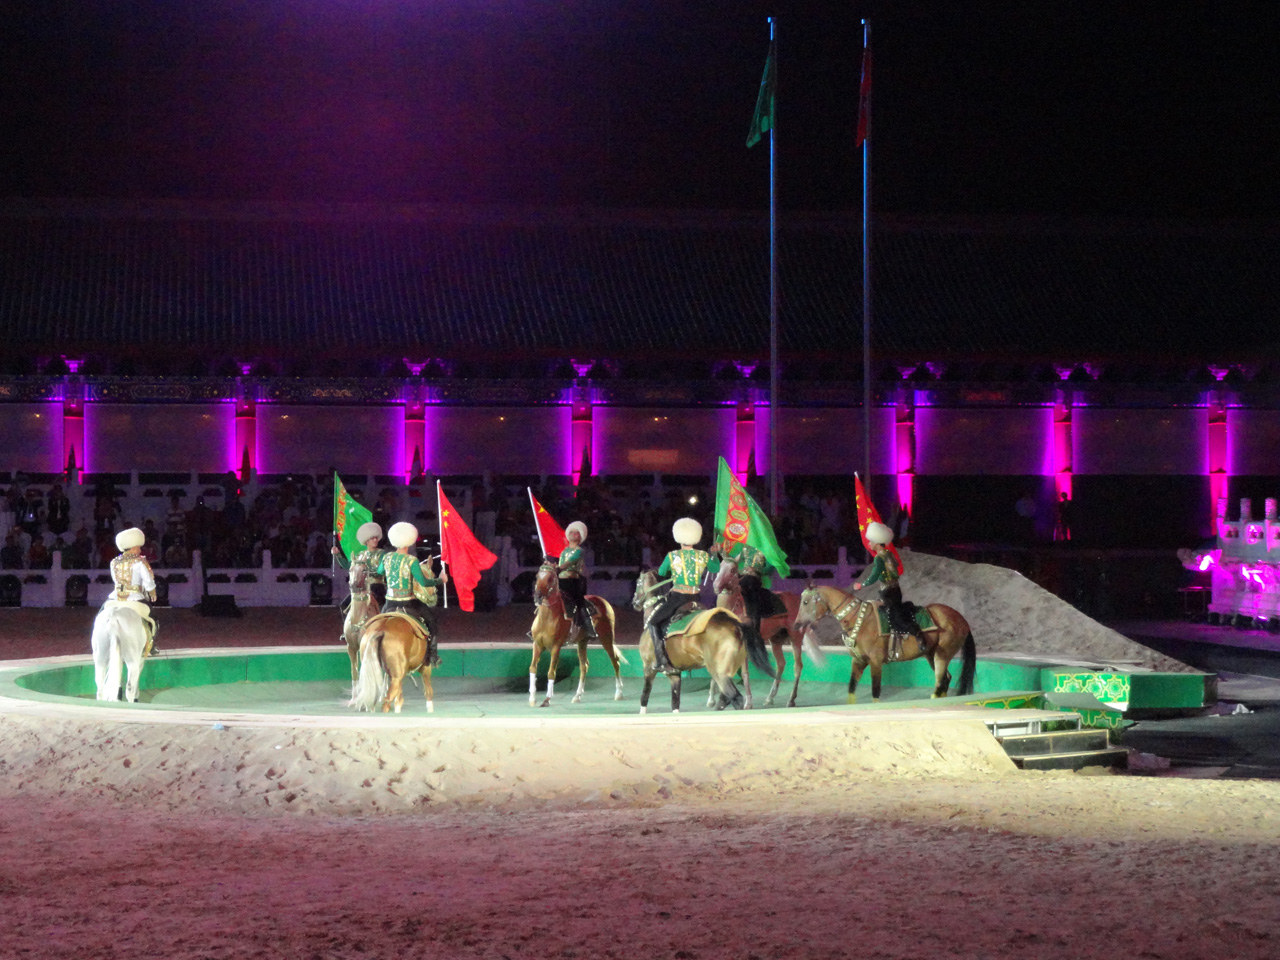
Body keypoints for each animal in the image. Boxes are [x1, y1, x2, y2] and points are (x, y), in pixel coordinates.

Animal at [528, 561, 626, 707]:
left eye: (550, 579)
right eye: (537, 576)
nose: (537, 596)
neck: (547, 617)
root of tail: (604, 602)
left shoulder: (556, 647)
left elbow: (551, 672)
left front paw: (547, 699)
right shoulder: (537, 645)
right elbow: (533, 668)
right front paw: (532, 698)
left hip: (606, 637)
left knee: (615, 661)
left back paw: (619, 693)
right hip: (582, 642)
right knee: (584, 666)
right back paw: (577, 696)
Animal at [631, 569, 776, 714]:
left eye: (638, 583)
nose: (634, 602)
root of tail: (736, 624)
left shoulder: (648, 669)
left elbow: (644, 697)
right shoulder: (674, 675)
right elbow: (675, 703)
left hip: (718, 672)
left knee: (735, 697)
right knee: (726, 697)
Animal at [713, 558, 823, 708]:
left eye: (732, 570)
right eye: (720, 566)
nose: (716, 585)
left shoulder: (744, 645)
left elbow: (745, 673)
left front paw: (747, 702)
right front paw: (717, 700)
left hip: (795, 638)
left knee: (797, 666)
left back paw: (791, 699)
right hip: (775, 639)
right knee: (781, 664)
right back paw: (770, 697)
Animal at [794, 584, 975, 703]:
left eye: (805, 602)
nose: (796, 625)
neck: (858, 619)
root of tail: (962, 620)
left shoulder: (875, 662)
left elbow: (875, 691)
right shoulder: (858, 661)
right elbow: (851, 689)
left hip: (941, 656)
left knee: (939, 682)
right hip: (931, 655)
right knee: (945, 679)